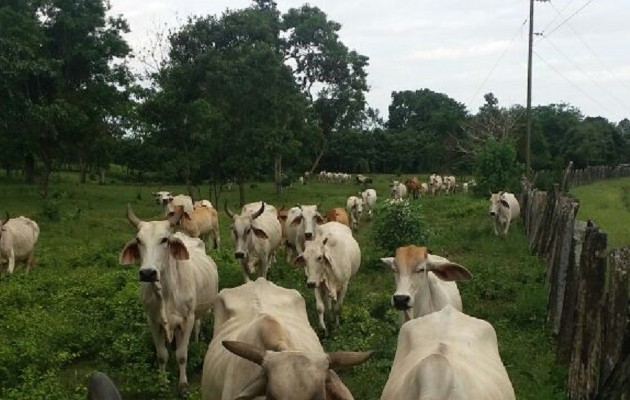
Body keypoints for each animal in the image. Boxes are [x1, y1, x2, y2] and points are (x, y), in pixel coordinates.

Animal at [119, 205, 220, 396]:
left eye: (164, 240)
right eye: (139, 240)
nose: (148, 273)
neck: (165, 293)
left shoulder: (187, 320)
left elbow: (181, 355)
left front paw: (183, 385)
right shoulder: (153, 321)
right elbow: (162, 355)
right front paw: (162, 382)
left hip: (200, 312)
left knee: (197, 325)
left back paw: (196, 342)